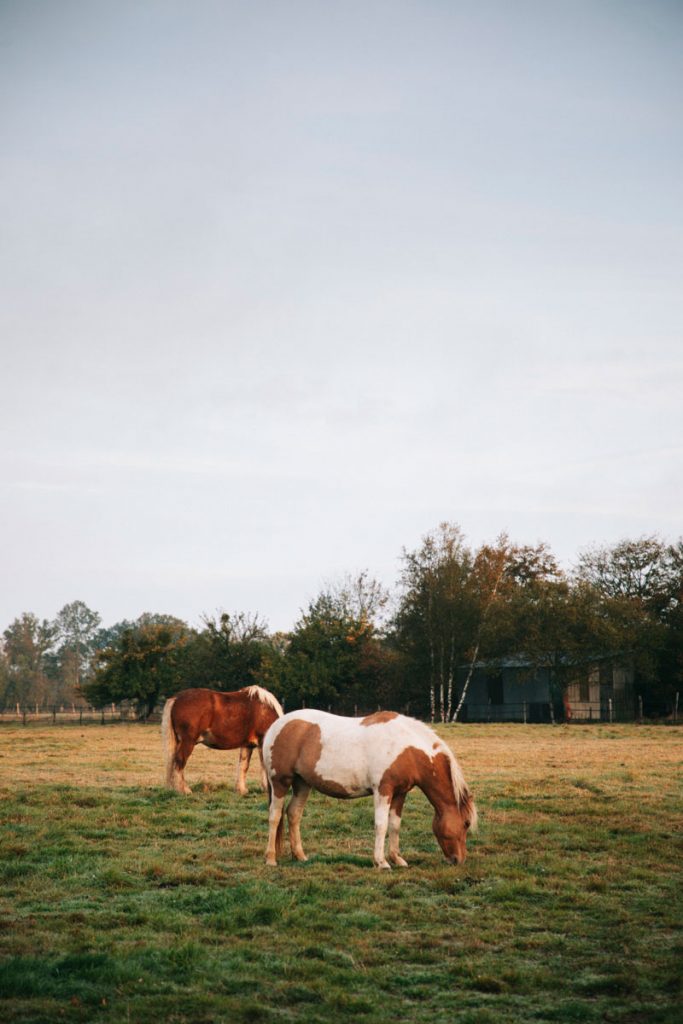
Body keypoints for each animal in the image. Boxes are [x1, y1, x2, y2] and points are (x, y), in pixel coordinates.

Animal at [263, 709, 477, 869]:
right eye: (466, 823)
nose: (459, 860)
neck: (405, 747)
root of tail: (276, 726)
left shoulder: (400, 793)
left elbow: (395, 825)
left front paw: (397, 859)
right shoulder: (383, 790)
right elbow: (381, 825)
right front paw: (381, 862)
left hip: (302, 784)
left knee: (293, 814)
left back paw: (300, 856)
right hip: (280, 782)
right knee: (275, 816)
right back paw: (271, 859)